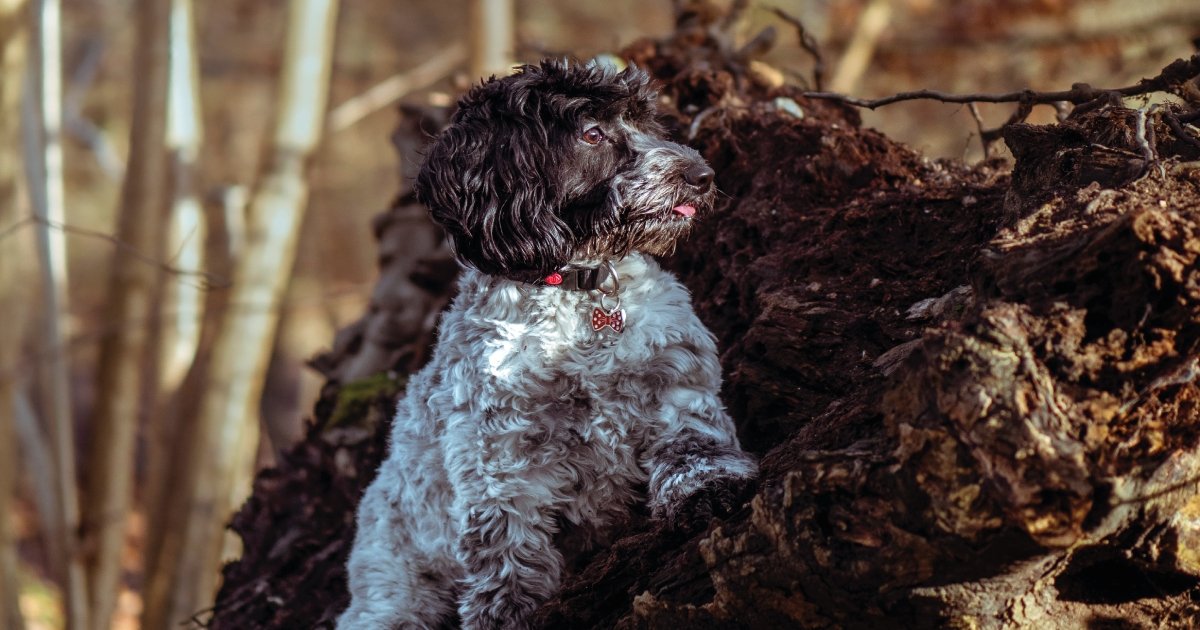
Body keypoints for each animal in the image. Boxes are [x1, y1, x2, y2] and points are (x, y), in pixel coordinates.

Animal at [336, 60, 758, 628]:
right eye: (592, 134)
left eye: (645, 122)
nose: (701, 175)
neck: (581, 291)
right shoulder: (500, 453)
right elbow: (505, 545)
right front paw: (508, 610)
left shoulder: (672, 381)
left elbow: (695, 441)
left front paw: (708, 489)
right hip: (392, 591)